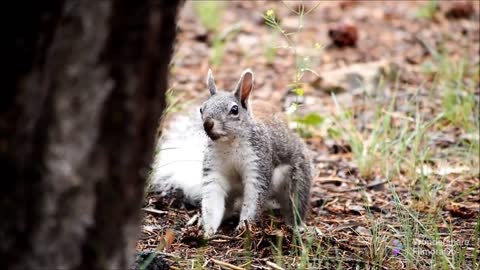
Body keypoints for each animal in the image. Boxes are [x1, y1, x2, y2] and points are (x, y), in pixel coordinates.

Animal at [152, 69, 314, 236]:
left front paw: (244, 226)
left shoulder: (258, 163)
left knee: (295, 202)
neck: (229, 143)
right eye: (201, 108)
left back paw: (297, 225)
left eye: (234, 110)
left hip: (297, 178)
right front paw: (208, 229)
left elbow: (253, 200)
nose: (208, 124)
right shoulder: (214, 169)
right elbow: (212, 201)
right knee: (228, 206)